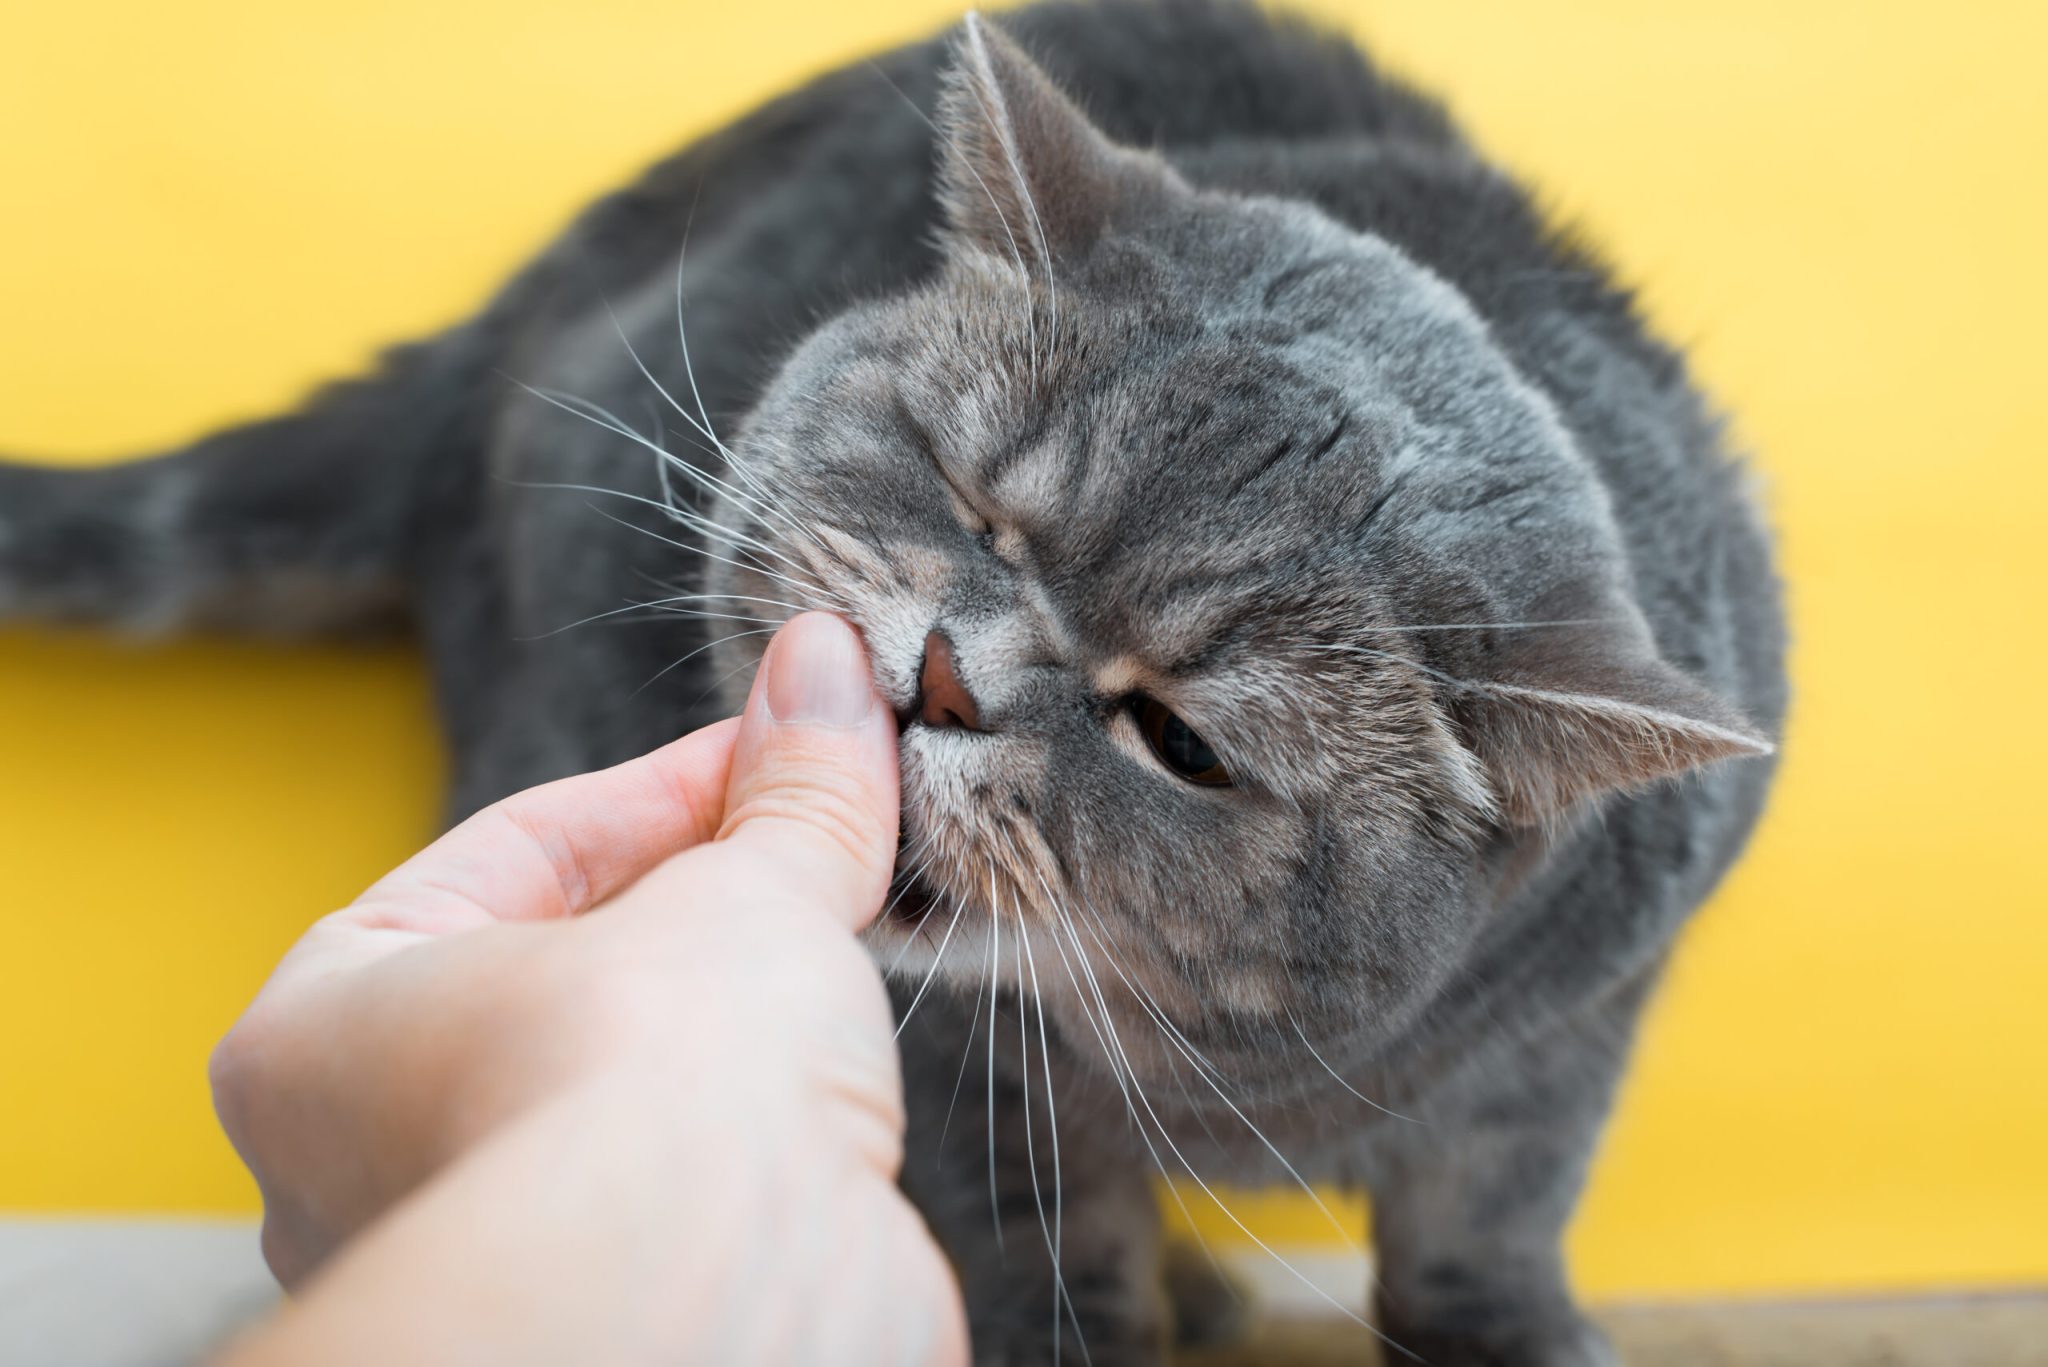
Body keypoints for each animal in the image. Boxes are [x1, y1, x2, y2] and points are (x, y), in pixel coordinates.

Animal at [0, 5, 1777, 1360]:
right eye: (975, 501)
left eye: (1176, 735)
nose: (943, 673)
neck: (1229, 1075)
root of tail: (505, 320)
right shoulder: (959, 1098)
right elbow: (1028, 1241)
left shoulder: (1574, 1026)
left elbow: (1494, 1203)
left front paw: (1510, 1328)